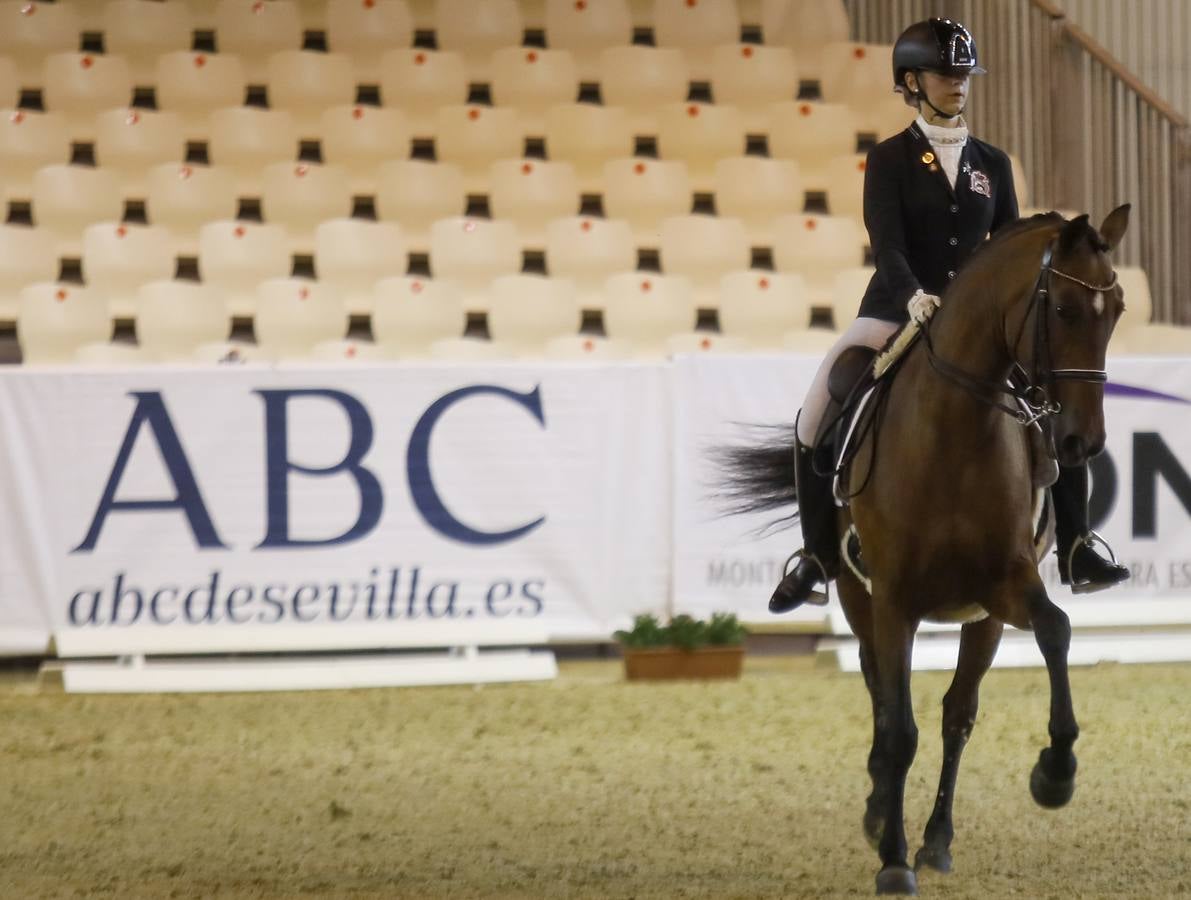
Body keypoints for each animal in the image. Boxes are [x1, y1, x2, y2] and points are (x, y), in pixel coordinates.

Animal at [719, 207, 1129, 895]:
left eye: (1118, 309)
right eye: (1065, 308)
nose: (1082, 443)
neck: (957, 431)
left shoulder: (1001, 588)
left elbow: (1052, 631)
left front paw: (1055, 771)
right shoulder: (895, 601)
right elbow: (899, 730)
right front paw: (891, 860)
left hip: (978, 619)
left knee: (956, 713)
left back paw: (936, 839)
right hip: (856, 594)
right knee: (881, 697)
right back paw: (880, 811)